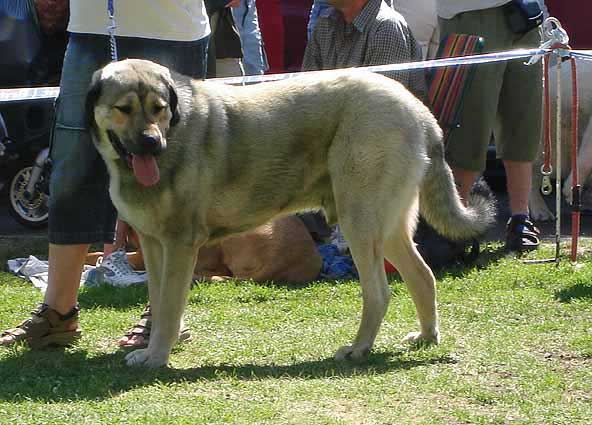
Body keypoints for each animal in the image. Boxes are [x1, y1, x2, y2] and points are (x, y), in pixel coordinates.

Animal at [85, 58, 494, 366]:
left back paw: (358, 348)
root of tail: (418, 110)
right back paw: (425, 337)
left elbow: (169, 307)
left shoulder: (181, 245)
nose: (151, 143)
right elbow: (157, 300)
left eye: (159, 108)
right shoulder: (154, 245)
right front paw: (151, 349)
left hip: (360, 222)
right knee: (422, 277)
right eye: (124, 109)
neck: (174, 133)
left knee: (379, 293)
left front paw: (156, 357)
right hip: (388, 227)